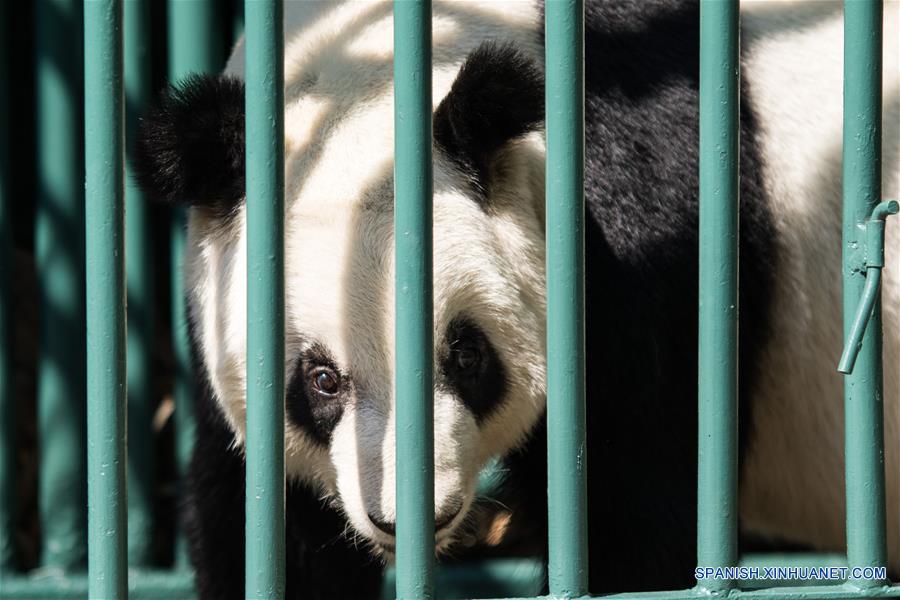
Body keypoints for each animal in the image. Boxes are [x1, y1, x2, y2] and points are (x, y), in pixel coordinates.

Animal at [134, 0, 900, 596]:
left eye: (466, 354)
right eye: (321, 379)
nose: (405, 517)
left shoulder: (644, 237)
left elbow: (638, 508)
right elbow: (265, 521)